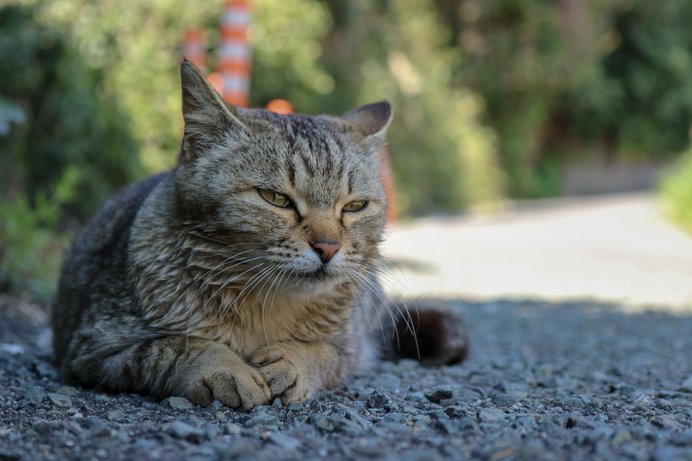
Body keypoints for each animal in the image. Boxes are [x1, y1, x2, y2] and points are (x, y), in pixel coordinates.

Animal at [51, 59, 468, 408]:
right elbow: (173, 346)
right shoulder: (94, 346)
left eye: (354, 207)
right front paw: (222, 368)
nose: (328, 247)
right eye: (276, 199)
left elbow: (325, 354)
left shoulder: (353, 349)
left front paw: (294, 360)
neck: (265, 307)